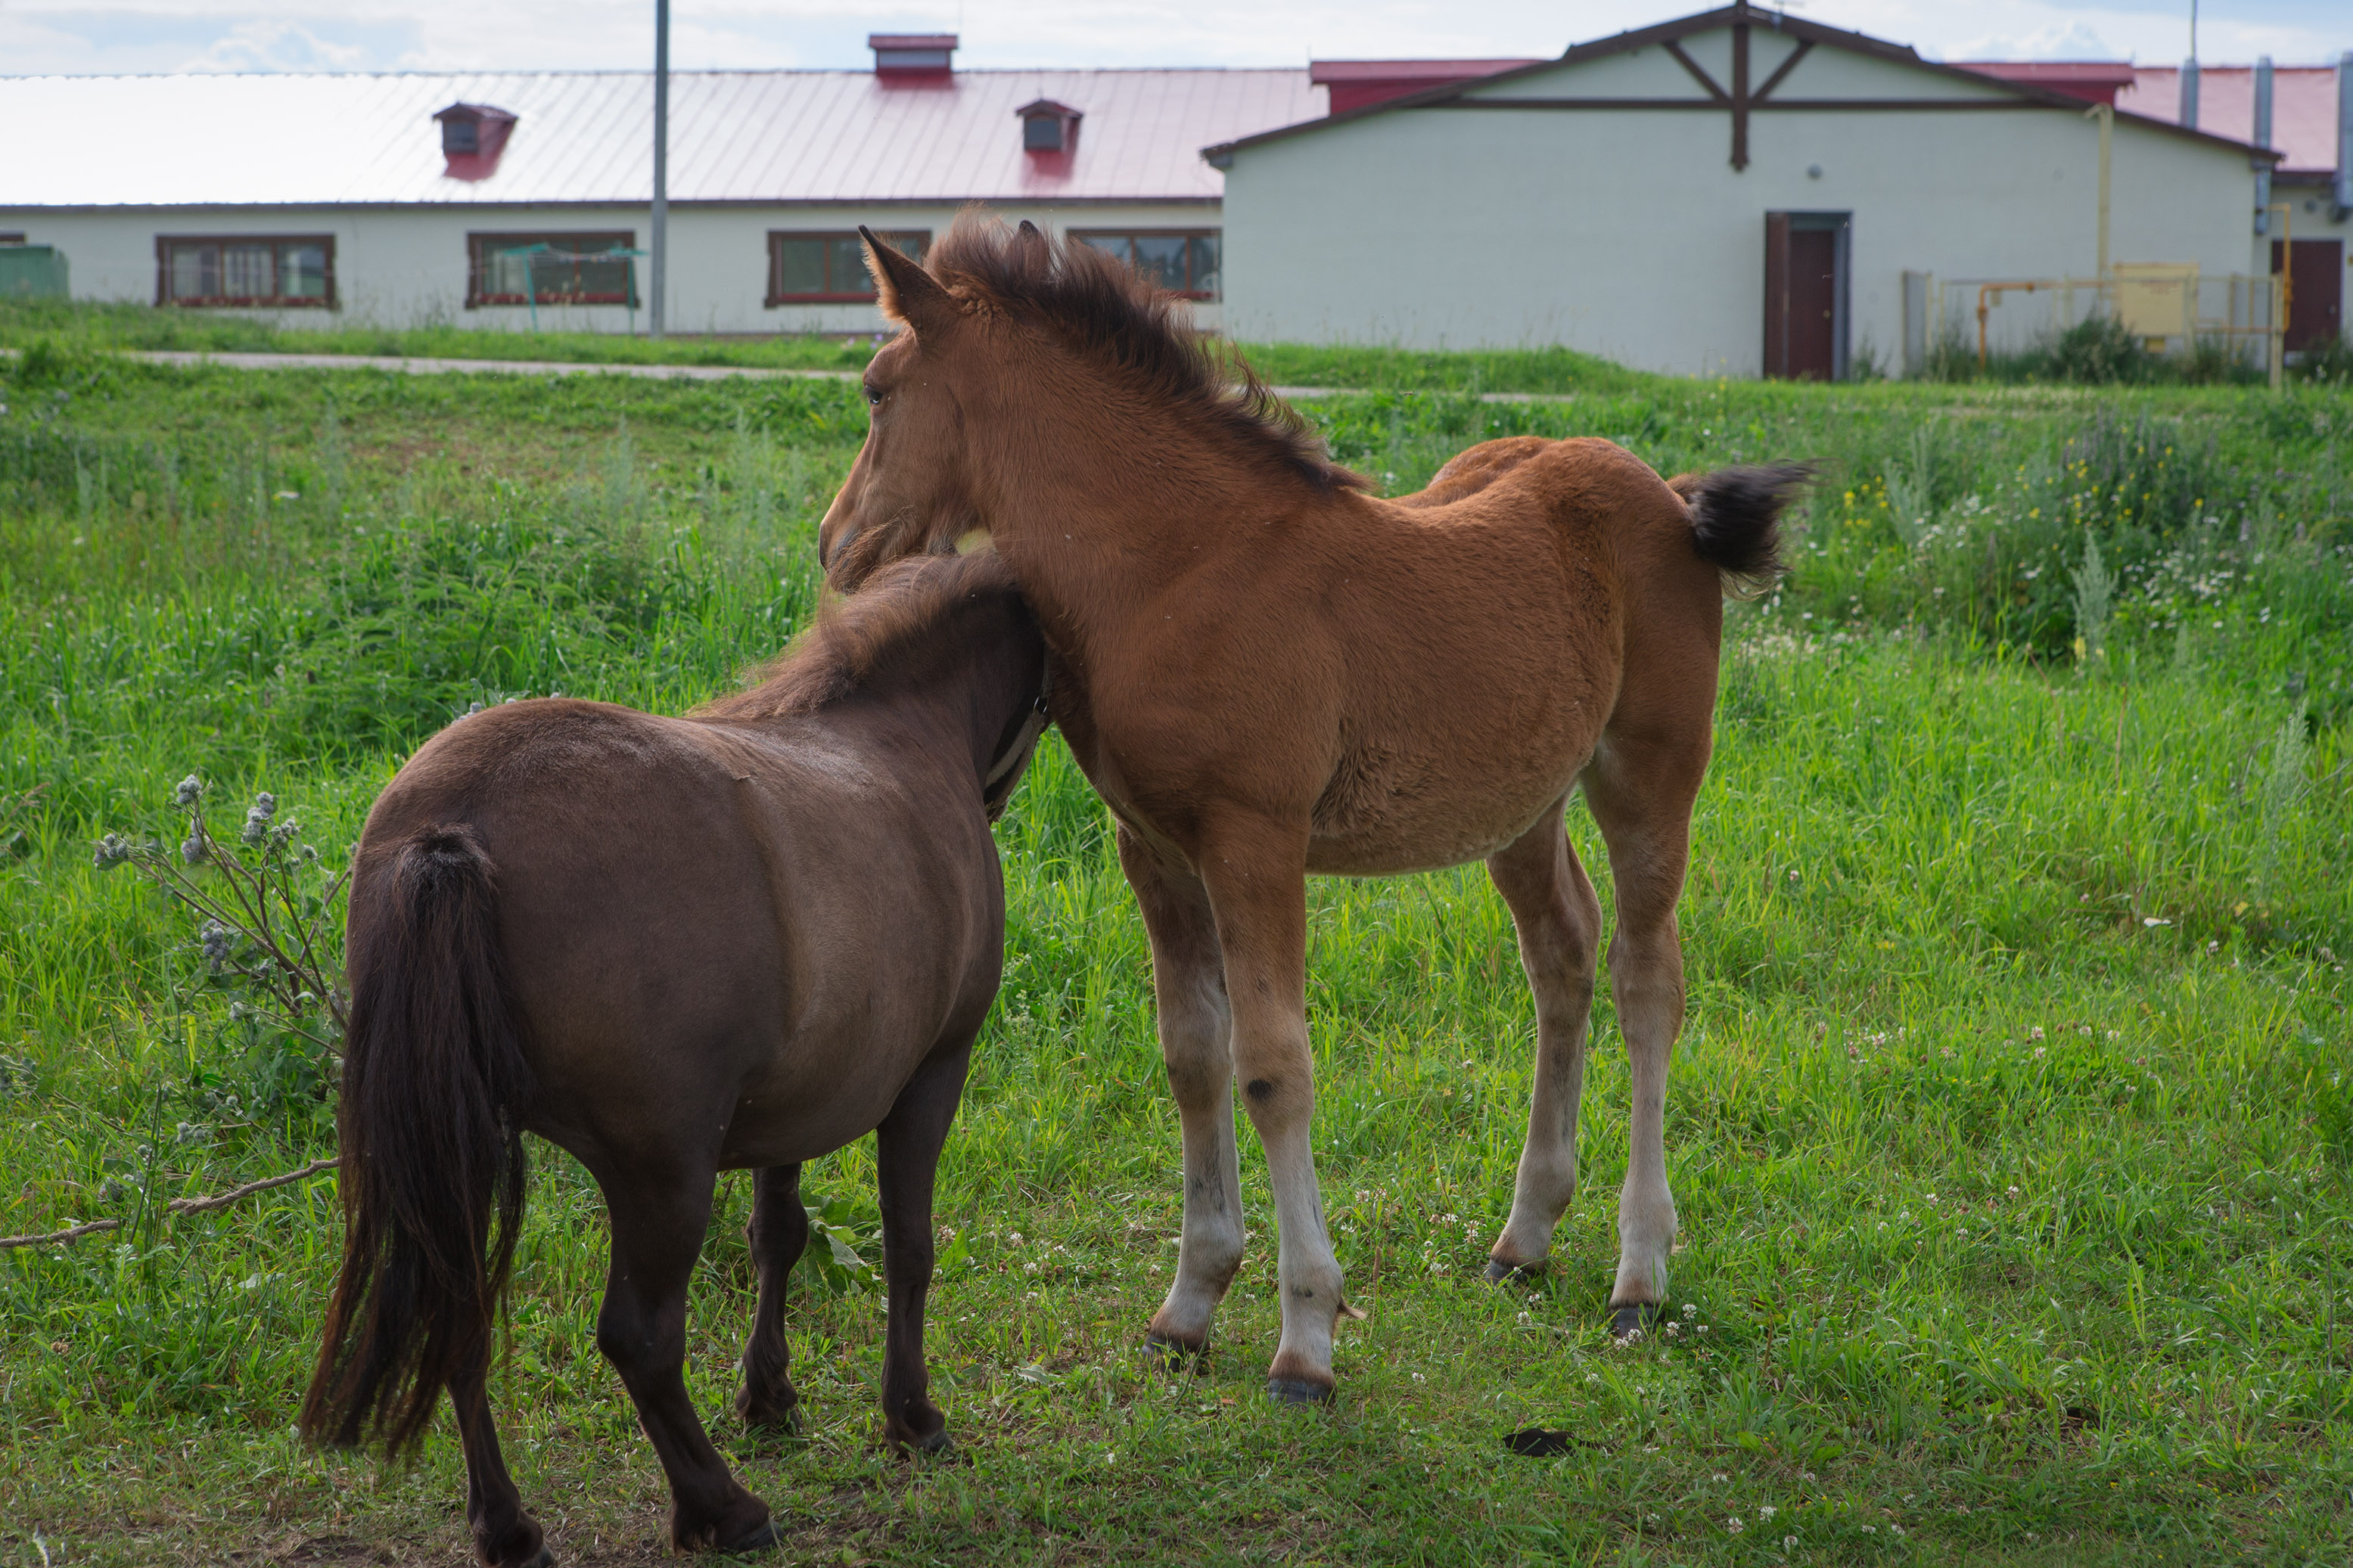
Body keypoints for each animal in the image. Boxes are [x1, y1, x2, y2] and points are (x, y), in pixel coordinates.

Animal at [301, 554, 1049, 1568]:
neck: (897, 728)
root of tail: (453, 830)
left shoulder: (797, 1098)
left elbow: (780, 1232)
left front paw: (769, 1396)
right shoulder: (933, 1072)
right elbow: (909, 1245)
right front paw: (911, 1416)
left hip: (459, 1154)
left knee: (459, 1318)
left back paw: (508, 1525)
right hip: (662, 1173)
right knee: (641, 1339)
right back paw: (718, 1508)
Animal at [819, 215, 1807, 1401]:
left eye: (877, 391)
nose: (837, 546)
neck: (1177, 564)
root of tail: (1664, 490)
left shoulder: (1255, 840)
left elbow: (1272, 1068)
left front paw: (1305, 1336)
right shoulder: (1153, 847)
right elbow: (1191, 1058)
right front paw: (1189, 1304)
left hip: (1648, 773)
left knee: (1646, 978)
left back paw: (1639, 1271)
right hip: (1519, 803)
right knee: (1560, 956)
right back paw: (1524, 1235)